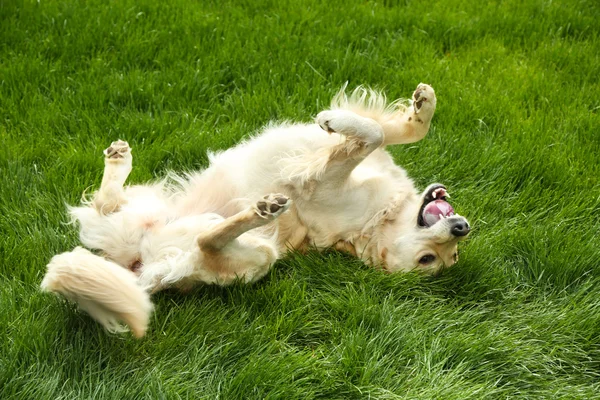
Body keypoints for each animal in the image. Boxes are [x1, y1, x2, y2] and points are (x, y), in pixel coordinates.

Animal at [43, 83, 474, 336]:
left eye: (430, 260)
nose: (462, 229)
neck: (380, 217)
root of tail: (134, 268)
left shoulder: (319, 181)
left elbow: (374, 132)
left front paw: (335, 119)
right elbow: (394, 130)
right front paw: (422, 104)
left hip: (253, 257)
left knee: (206, 242)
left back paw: (261, 210)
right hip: (146, 204)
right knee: (106, 201)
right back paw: (119, 159)